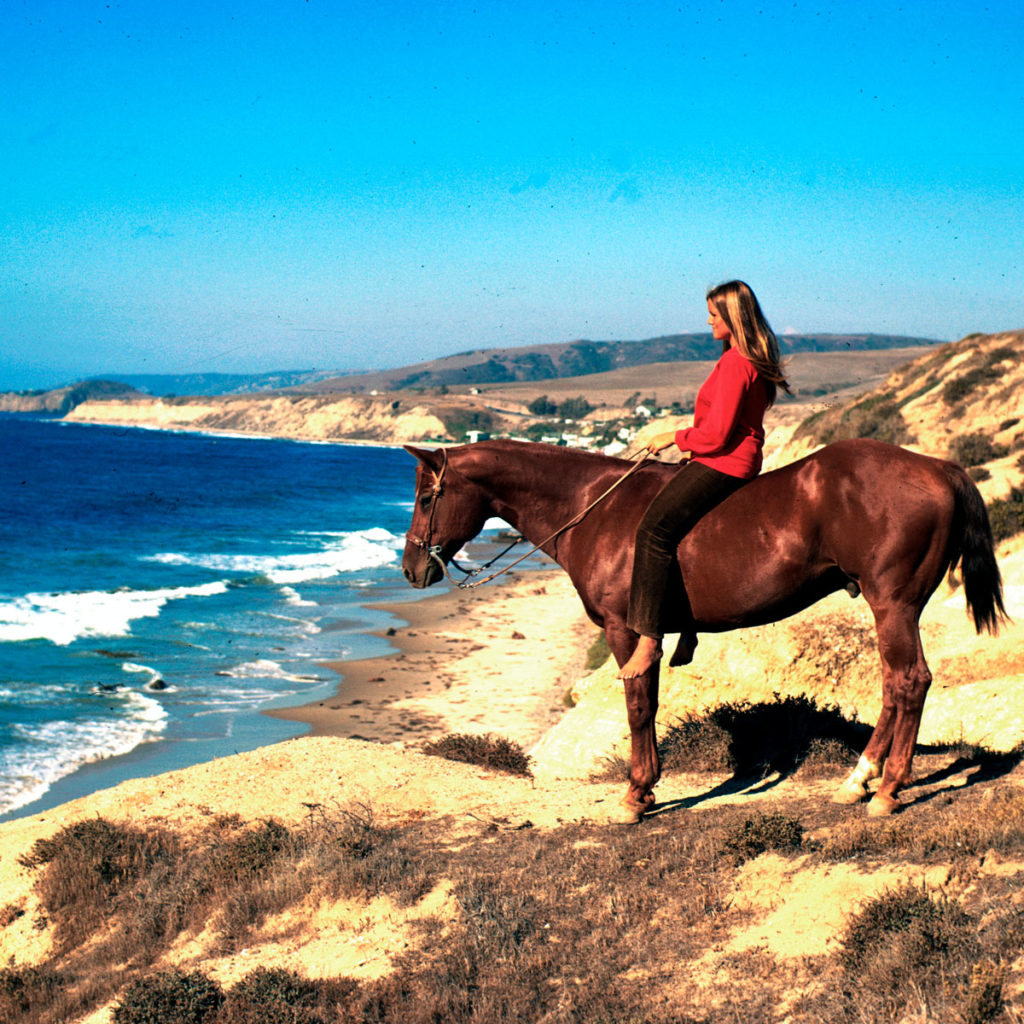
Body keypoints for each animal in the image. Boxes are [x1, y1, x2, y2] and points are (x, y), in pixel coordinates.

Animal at [401, 438, 1005, 820]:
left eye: (428, 497)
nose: (410, 569)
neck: (593, 509)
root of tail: (938, 468)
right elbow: (649, 701)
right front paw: (646, 788)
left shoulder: (625, 631)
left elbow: (638, 703)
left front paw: (637, 793)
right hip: (893, 609)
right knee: (894, 685)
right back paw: (859, 779)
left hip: (894, 604)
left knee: (910, 681)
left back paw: (888, 788)